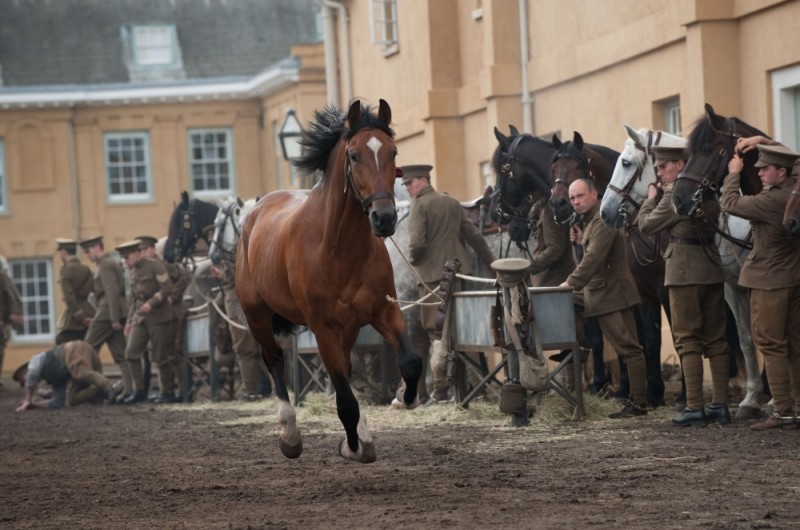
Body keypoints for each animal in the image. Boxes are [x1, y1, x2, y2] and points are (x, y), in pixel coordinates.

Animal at [235, 99, 422, 463]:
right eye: (354, 155)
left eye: (392, 151)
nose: (384, 218)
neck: (338, 247)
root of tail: (257, 209)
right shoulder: (322, 328)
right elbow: (345, 400)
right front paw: (353, 446)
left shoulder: (384, 311)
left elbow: (410, 362)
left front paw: (404, 397)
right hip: (257, 315)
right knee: (275, 359)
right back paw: (290, 435)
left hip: (348, 327)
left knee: (347, 367)